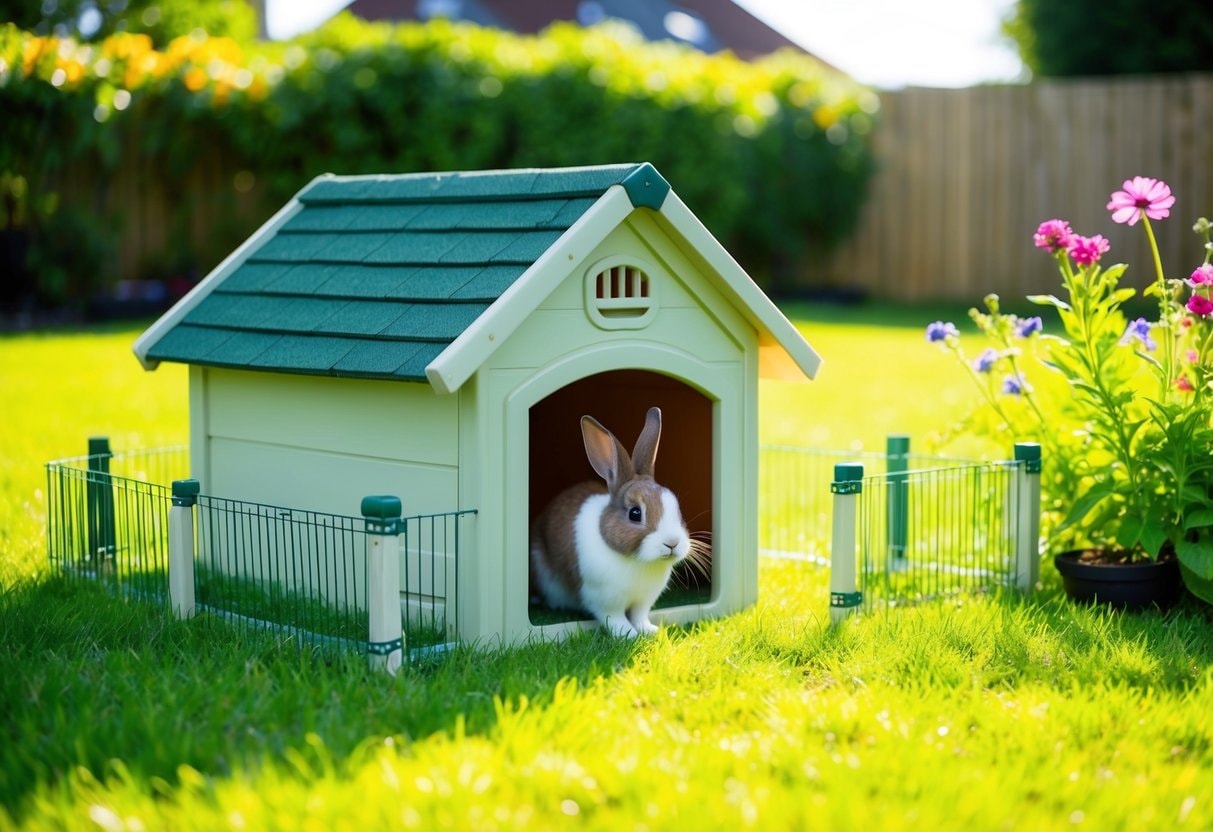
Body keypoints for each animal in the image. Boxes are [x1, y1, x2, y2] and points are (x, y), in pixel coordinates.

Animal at [531, 405, 693, 640]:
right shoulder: (604, 601)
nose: (672, 543)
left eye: (677, 509)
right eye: (635, 513)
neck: (638, 561)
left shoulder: (643, 601)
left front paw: (650, 631)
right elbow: (615, 619)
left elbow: (639, 615)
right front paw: (629, 635)